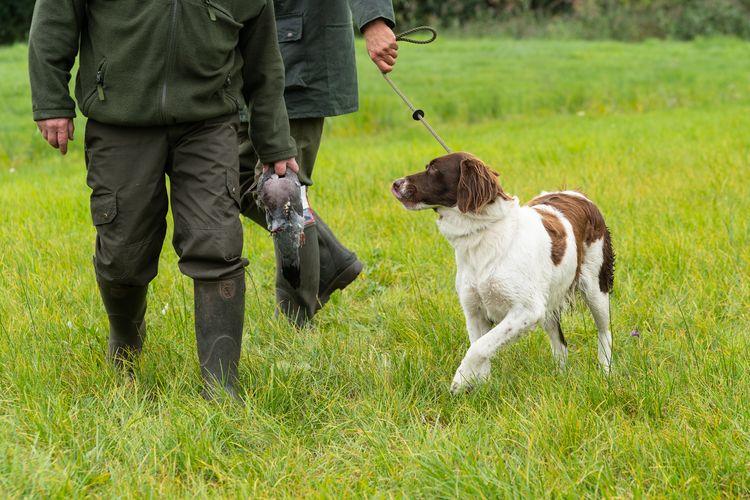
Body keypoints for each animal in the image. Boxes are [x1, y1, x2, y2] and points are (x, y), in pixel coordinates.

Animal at [390, 152, 612, 394]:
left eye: (433, 169)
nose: (395, 183)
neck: (481, 233)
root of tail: (577, 194)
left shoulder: (527, 310)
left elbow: (478, 348)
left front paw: (459, 381)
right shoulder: (474, 309)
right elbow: (481, 348)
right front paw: (479, 387)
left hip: (595, 288)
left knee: (604, 332)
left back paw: (606, 373)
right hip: (549, 300)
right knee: (560, 344)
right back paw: (560, 378)